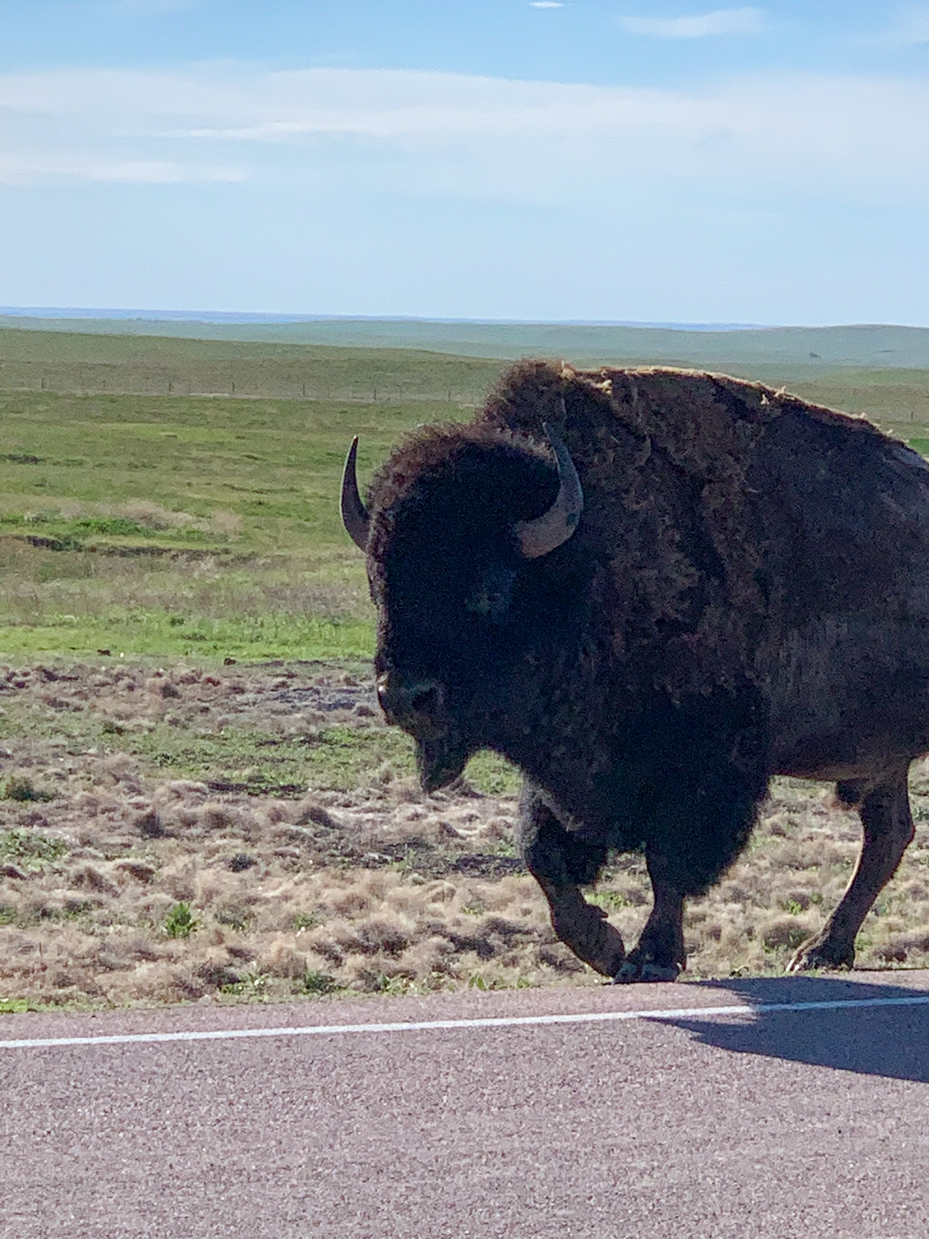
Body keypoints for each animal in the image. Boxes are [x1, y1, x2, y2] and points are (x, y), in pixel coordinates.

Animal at [341, 359, 929, 976]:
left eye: (491, 587)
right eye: (378, 581)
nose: (403, 696)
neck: (588, 562)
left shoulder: (703, 769)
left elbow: (668, 865)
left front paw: (650, 958)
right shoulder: (564, 777)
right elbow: (541, 854)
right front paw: (602, 948)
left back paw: (819, 949)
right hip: (883, 760)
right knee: (888, 836)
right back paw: (823, 950)